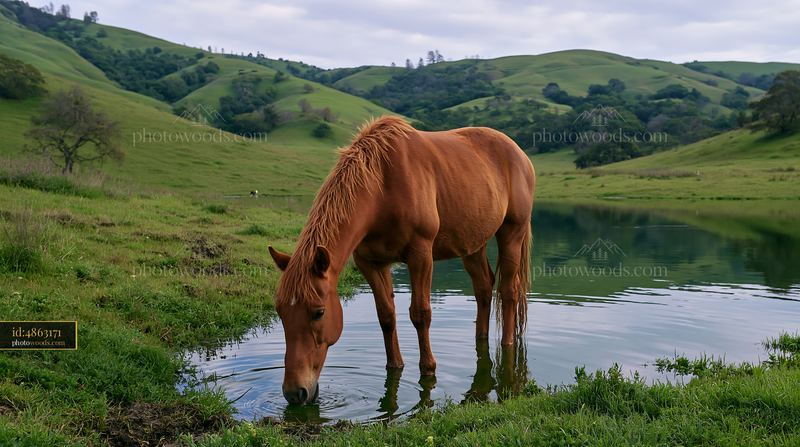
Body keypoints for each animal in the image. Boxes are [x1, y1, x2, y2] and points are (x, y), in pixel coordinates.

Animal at [268, 116, 535, 404]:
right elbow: (386, 315)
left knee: (508, 291)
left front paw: (428, 369)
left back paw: (507, 346)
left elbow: (420, 313)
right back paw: (481, 339)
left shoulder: (421, 254)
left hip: (512, 232)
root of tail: (519, 154)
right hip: (473, 244)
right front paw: (394, 367)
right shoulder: (371, 263)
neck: (382, 187)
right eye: (280, 312)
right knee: (484, 287)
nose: (295, 392)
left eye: (319, 312)